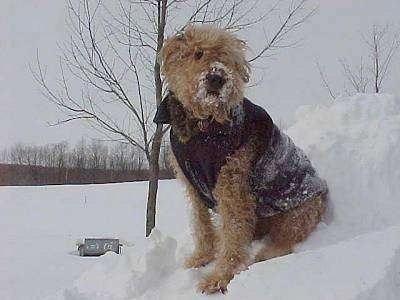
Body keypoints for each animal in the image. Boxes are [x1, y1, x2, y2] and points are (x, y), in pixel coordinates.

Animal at [153, 24, 328, 294]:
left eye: (227, 58)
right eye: (198, 53)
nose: (217, 77)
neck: (203, 127)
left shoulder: (231, 186)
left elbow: (233, 234)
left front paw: (219, 277)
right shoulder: (193, 186)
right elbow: (202, 225)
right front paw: (201, 257)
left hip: (297, 214)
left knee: (284, 243)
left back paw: (262, 255)